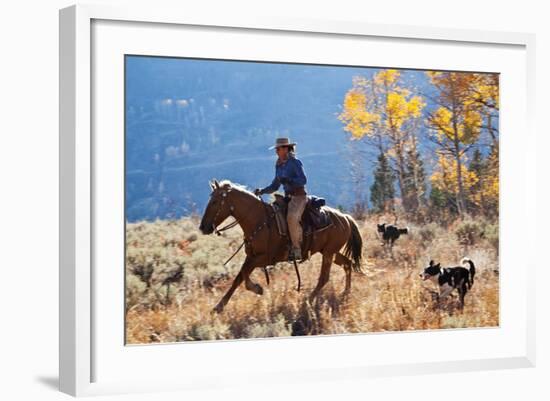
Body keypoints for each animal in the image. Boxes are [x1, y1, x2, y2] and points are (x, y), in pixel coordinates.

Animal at [199, 178, 366, 312]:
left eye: (214, 202)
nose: (203, 227)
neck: (259, 220)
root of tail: (345, 217)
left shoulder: (264, 258)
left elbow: (244, 274)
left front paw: (257, 289)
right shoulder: (251, 256)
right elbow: (239, 277)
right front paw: (219, 306)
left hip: (328, 253)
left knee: (324, 277)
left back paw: (308, 300)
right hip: (330, 252)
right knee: (348, 264)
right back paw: (346, 293)